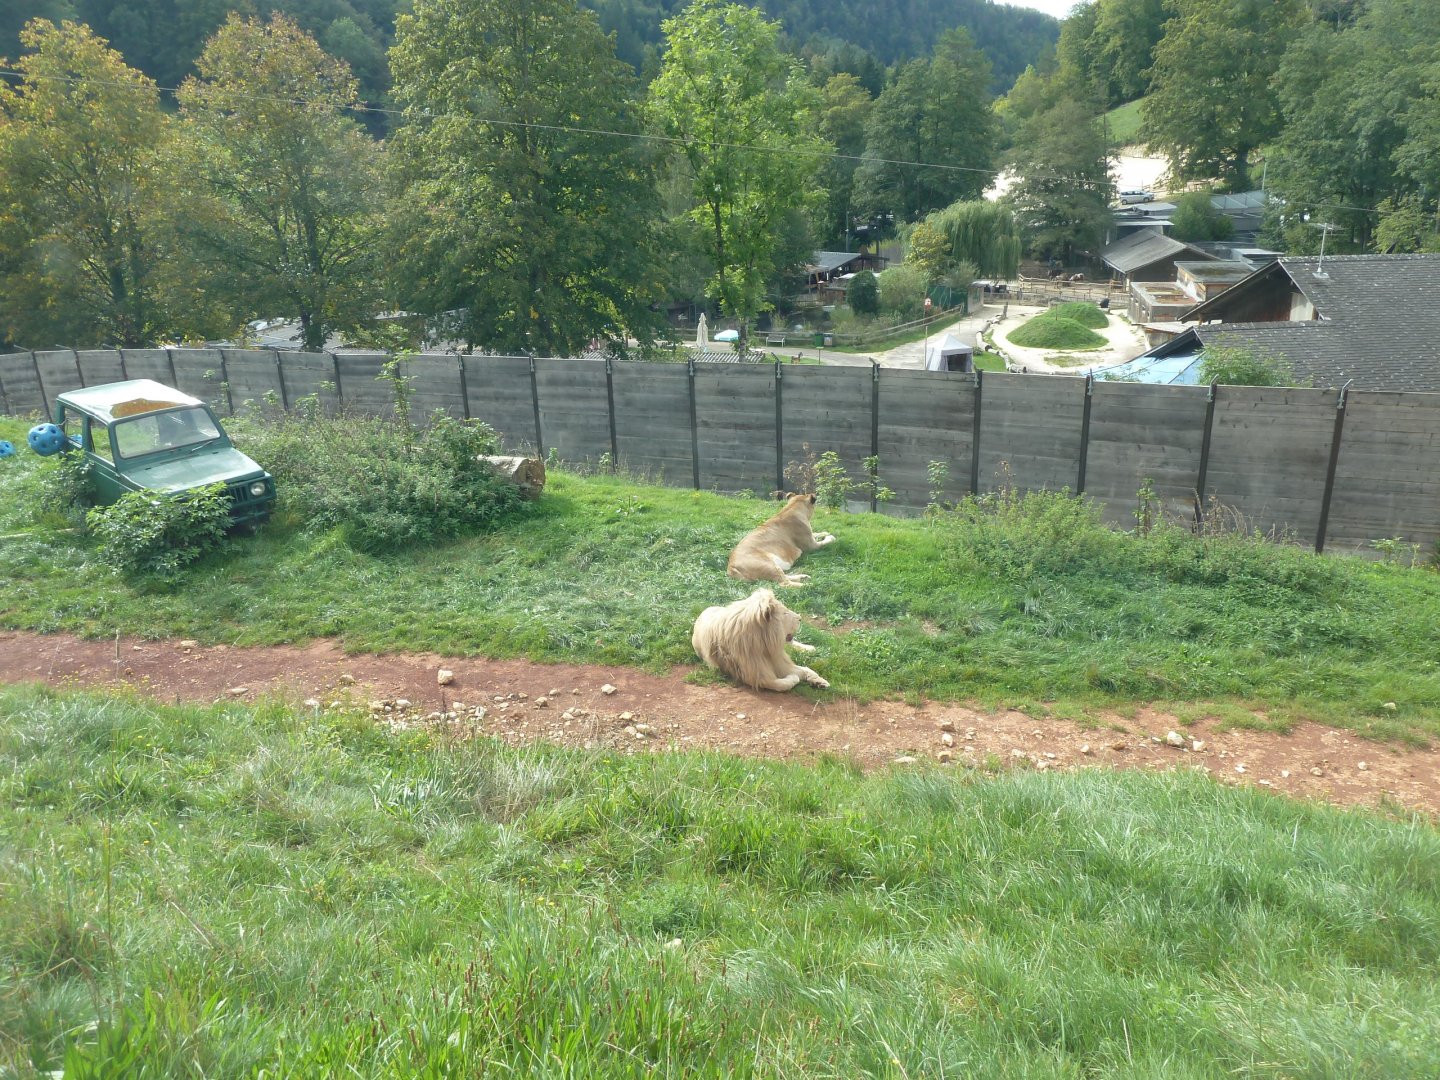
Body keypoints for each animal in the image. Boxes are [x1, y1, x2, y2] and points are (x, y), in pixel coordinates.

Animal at [692, 588, 829, 692]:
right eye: (785, 613)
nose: (800, 618)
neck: (765, 646)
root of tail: (706, 609)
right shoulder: (757, 675)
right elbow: (782, 684)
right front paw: (795, 677)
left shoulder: (778, 659)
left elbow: (806, 669)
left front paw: (820, 681)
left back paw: (810, 648)